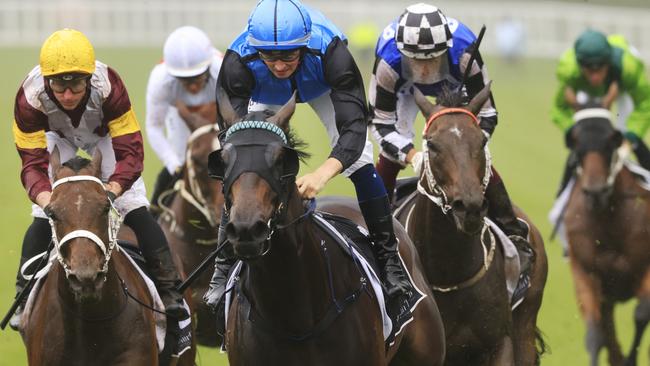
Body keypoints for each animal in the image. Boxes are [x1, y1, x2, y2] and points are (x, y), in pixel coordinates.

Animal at [390, 84, 548, 364]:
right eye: (432, 144)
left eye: (482, 141)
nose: (470, 207)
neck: (448, 273)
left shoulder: (500, 343)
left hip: (526, 323)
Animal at [560, 107, 648, 364]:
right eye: (576, 144)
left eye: (611, 142)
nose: (596, 192)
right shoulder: (586, 272)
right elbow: (595, 335)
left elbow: (641, 315)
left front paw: (630, 360)